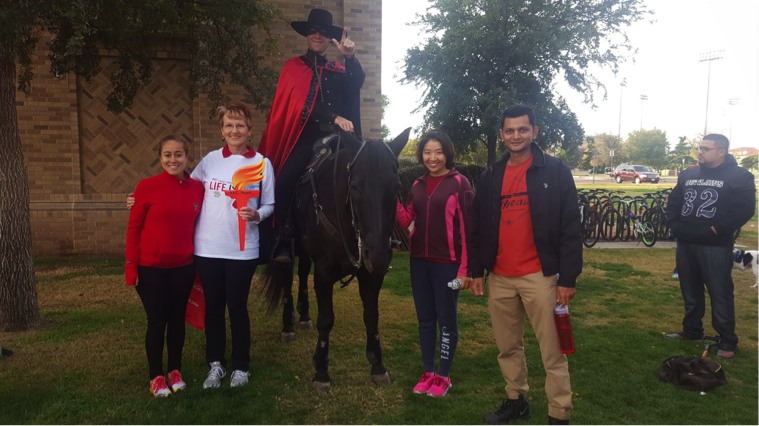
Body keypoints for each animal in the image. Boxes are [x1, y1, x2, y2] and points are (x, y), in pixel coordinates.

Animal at [264, 128, 412, 392]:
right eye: (354, 186)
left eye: (396, 186)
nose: (378, 256)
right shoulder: (324, 273)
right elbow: (326, 320)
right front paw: (321, 371)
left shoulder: (371, 276)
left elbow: (371, 317)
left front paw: (378, 366)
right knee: (287, 280)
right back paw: (288, 325)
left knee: (303, 273)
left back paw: (303, 316)